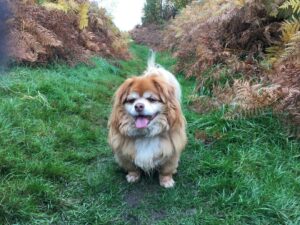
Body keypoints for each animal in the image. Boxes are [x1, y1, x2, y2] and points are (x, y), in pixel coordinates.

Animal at [108, 51, 188, 188]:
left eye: (151, 99)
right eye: (132, 100)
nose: (139, 106)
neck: (145, 135)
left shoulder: (170, 153)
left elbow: (166, 170)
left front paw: (167, 181)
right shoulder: (124, 153)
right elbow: (132, 168)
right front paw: (133, 176)